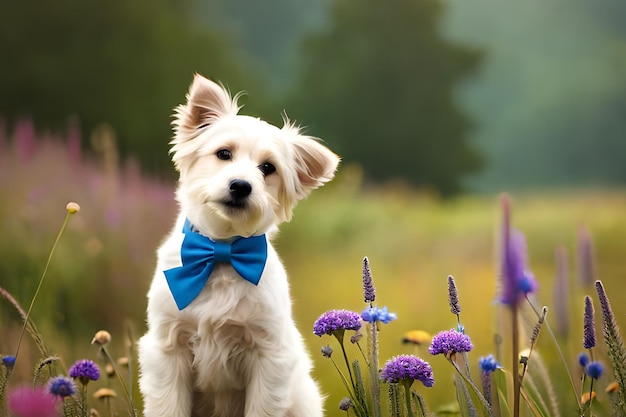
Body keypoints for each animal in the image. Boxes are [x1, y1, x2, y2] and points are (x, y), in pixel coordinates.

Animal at [139, 75, 338, 416]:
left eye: (268, 168)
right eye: (223, 153)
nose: (241, 186)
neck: (221, 253)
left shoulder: (269, 358)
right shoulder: (167, 348)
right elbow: (168, 407)